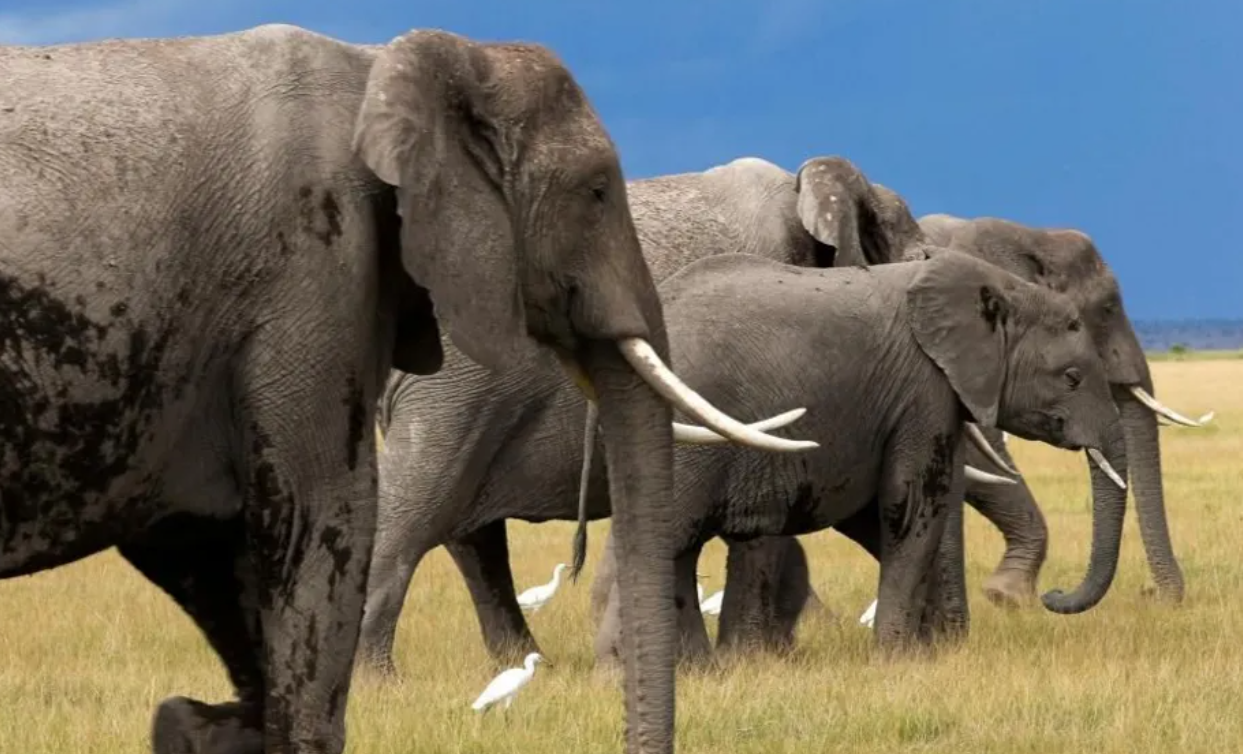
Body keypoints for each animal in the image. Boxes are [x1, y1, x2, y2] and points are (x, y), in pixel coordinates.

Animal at [0, 25, 814, 754]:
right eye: (594, 191)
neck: (389, 68)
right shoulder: (313, 268)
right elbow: (320, 519)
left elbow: (199, 542)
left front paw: (202, 723)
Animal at [360, 155, 1014, 671]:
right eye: (920, 260)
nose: (950, 645)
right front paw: (756, 661)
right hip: (456, 386)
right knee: (415, 510)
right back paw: (377, 680)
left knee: (470, 537)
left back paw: (530, 665)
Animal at [587, 250, 1131, 663]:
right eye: (1071, 378)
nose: (1052, 597)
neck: (1000, 283)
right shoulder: (922, 386)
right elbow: (910, 505)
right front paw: (898, 662)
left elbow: (886, 514)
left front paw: (928, 654)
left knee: (678, 549)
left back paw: (699, 671)